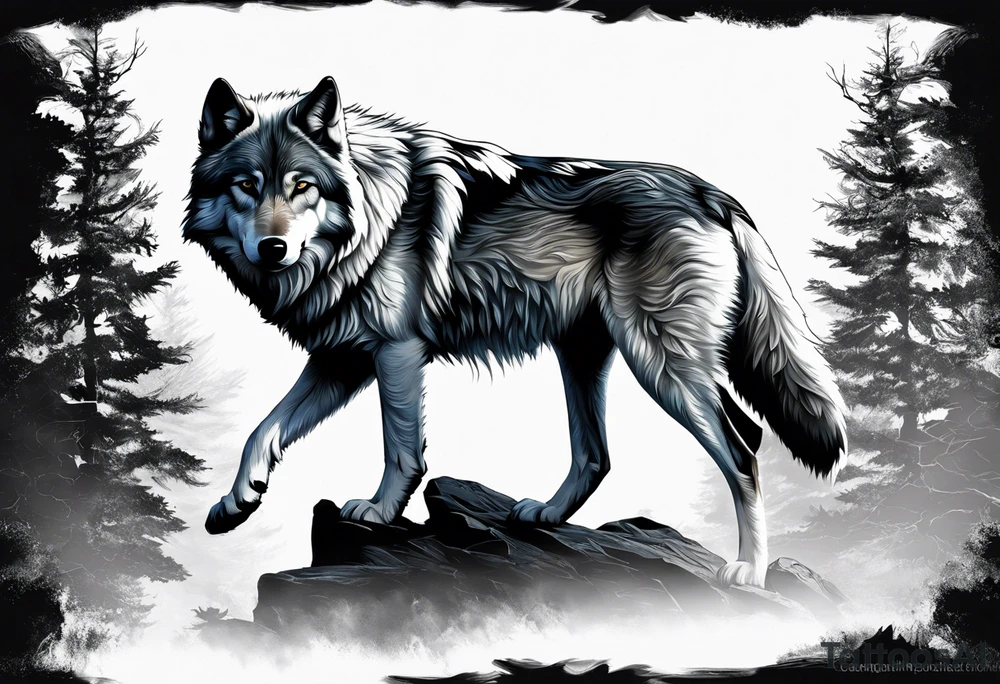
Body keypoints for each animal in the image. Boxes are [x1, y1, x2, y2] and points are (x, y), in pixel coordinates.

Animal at [184, 76, 847, 587]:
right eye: (247, 185)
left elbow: (401, 448)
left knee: (745, 448)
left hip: (660, 363)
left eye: (301, 186)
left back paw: (749, 571)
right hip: (585, 354)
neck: (371, 213)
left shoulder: (396, 353)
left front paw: (378, 510)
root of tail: (713, 194)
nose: (273, 249)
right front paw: (235, 503)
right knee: (597, 454)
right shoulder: (341, 359)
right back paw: (545, 515)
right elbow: (263, 429)